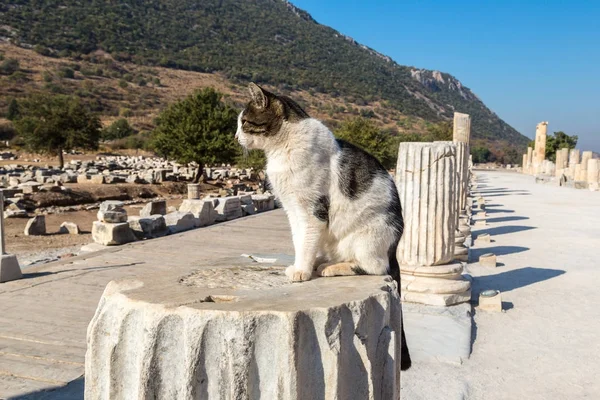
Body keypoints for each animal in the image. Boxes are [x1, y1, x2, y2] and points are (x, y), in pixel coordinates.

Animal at [237, 83, 410, 370]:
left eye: (244, 122)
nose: (236, 136)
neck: (281, 148)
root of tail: (394, 248)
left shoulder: (311, 211)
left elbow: (306, 241)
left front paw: (302, 271)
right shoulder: (292, 210)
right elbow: (299, 241)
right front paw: (301, 264)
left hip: (368, 236)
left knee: (374, 268)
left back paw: (330, 268)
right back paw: (323, 261)